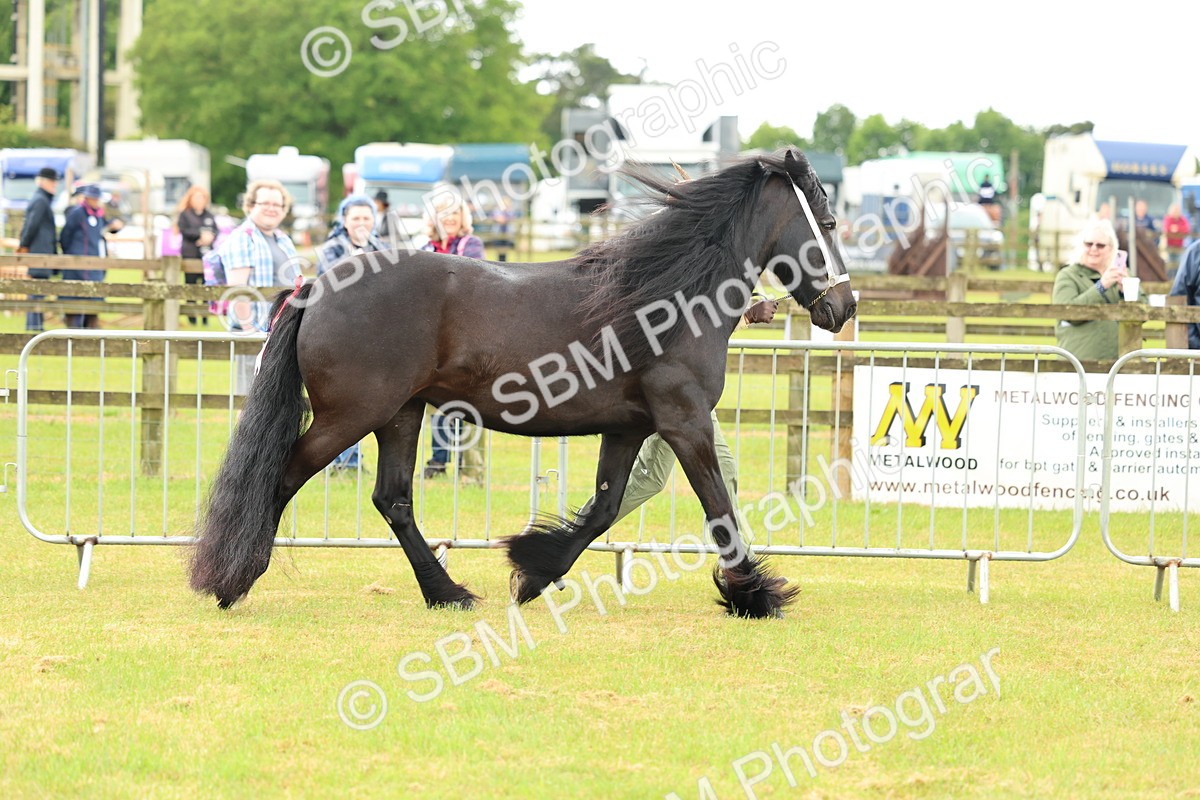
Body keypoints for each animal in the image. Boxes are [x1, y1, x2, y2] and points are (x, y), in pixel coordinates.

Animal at [189, 147, 857, 619]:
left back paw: (448, 592)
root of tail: (317, 286)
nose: (843, 308)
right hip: (350, 417)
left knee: (393, 500)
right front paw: (755, 595)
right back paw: (234, 580)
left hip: (401, 415)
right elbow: (719, 506)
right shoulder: (684, 421)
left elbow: (604, 509)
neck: (667, 296)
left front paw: (533, 571)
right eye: (826, 221)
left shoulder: (629, 428)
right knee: (282, 476)